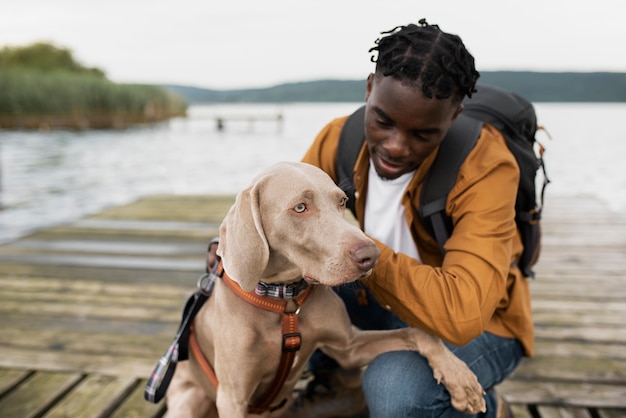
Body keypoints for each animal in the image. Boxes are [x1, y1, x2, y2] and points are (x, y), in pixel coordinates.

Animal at [165, 162, 482, 416]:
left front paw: (460, 378)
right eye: (300, 207)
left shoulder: (348, 347)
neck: (285, 303)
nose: (371, 255)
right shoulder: (234, 397)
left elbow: (417, 333)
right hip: (189, 401)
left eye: (342, 201)